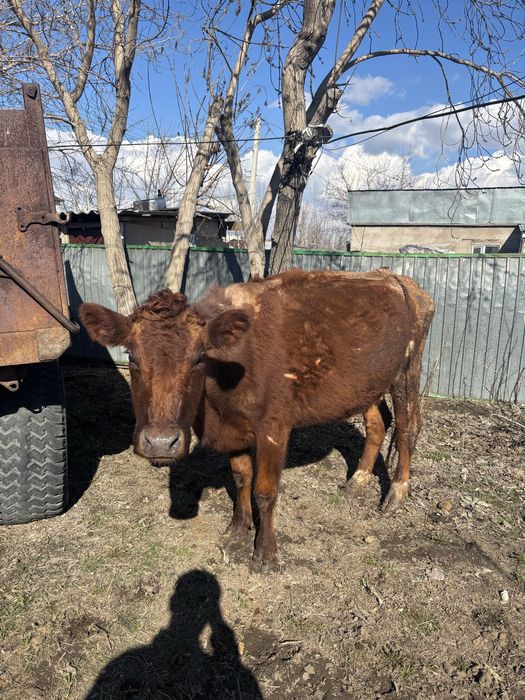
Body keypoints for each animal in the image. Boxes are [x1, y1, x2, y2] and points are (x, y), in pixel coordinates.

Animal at [80, 268, 435, 573]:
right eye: (131, 357)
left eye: (199, 357)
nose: (160, 443)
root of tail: (397, 278)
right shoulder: (232, 428)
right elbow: (240, 477)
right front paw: (238, 527)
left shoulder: (275, 428)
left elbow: (265, 492)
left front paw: (265, 553)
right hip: (366, 384)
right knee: (377, 423)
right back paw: (358, 480)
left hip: (408, 370)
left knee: (408, 427)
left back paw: (396, 494)